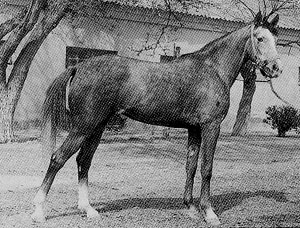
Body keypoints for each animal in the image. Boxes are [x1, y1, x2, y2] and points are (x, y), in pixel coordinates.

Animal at [31, 11, 282, 225]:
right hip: (83, 127)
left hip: (97, 127)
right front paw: (209, 213)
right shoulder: (211, 127)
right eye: (260, 38)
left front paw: (190, 208)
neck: (212, 69)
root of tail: (78, 67)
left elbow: (191, 165)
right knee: (57, 158)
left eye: (276, 40)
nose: (275, 68)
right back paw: (39, 211)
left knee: (83, 161)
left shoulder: (194, 129)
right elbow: (207, 168)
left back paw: (89, 210)